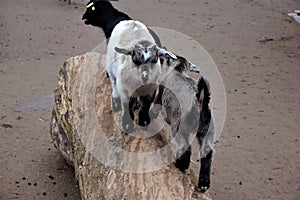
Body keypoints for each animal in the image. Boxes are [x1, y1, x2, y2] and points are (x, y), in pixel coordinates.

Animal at [154, 55, 214, 193]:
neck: (178, 70)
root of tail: (199, 102)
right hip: (207, 131)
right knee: (207, 154)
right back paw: (204, 183)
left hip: (179, 127)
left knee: (186, 148)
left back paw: (181, 166)